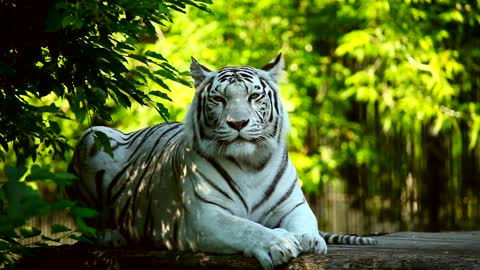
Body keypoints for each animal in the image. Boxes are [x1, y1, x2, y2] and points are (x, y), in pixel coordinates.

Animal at [67, 53, 376, 268]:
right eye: (218, 98)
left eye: (254, 96)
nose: (238, 123)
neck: (251, 165)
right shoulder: (203, 217)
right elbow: (246, 227)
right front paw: (278, 242)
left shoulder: (294, 205)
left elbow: (304, 222)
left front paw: (308, 240)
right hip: (94, 136)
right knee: (85, 223)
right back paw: (111, 235)